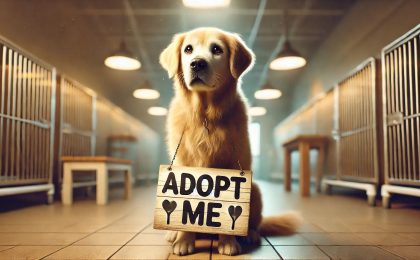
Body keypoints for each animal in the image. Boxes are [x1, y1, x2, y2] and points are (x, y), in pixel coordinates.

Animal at [159, 27, 300, 255]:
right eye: (188, 49)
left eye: (217, 49)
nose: (197, 63)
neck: (205, 115)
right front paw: (184, 240)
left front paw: (227, 242)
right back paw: (174, 234)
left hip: (255, 191)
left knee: (256, 224)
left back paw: (250, 235)